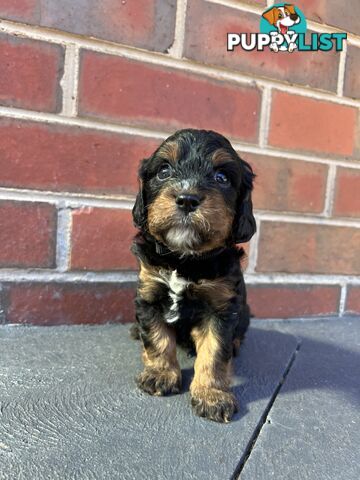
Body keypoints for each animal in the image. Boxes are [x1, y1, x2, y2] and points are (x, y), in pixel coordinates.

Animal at [131, 129, 256, 422]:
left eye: (222, 178)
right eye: (164, 171)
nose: (187, 199)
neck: (183, 258)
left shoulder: (221, 308)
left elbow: (214, 352)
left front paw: (212, 396)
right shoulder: (149, 294)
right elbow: (157, 338)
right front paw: (159, 375)